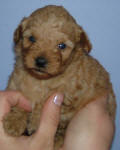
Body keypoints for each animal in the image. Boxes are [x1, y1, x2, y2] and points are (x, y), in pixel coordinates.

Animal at [3, 4, 116, 149]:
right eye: (32, 38)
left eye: (61, 46)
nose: (40, 61)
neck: (41, 80)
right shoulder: (15, 84)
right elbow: (21, 101)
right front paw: (14, 121)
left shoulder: (70, 94)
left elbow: (45, 102)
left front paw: (35, 122)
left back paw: (58, 140)